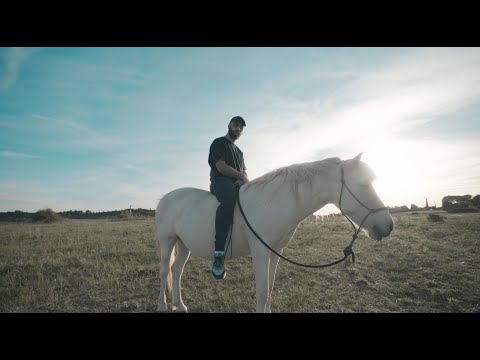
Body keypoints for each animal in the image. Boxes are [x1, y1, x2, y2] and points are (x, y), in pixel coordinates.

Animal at [157, 153, 394, 314]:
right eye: (363, 184)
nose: (389, 225)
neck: (274, 202)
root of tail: (164, 198)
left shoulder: (274, 251)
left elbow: (270, 288)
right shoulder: (260, 252)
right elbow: (262, 291)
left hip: (184, 244)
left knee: (176, 272)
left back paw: (180, 305)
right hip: (167, 242)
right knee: (164, 272)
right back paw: (162, 306)